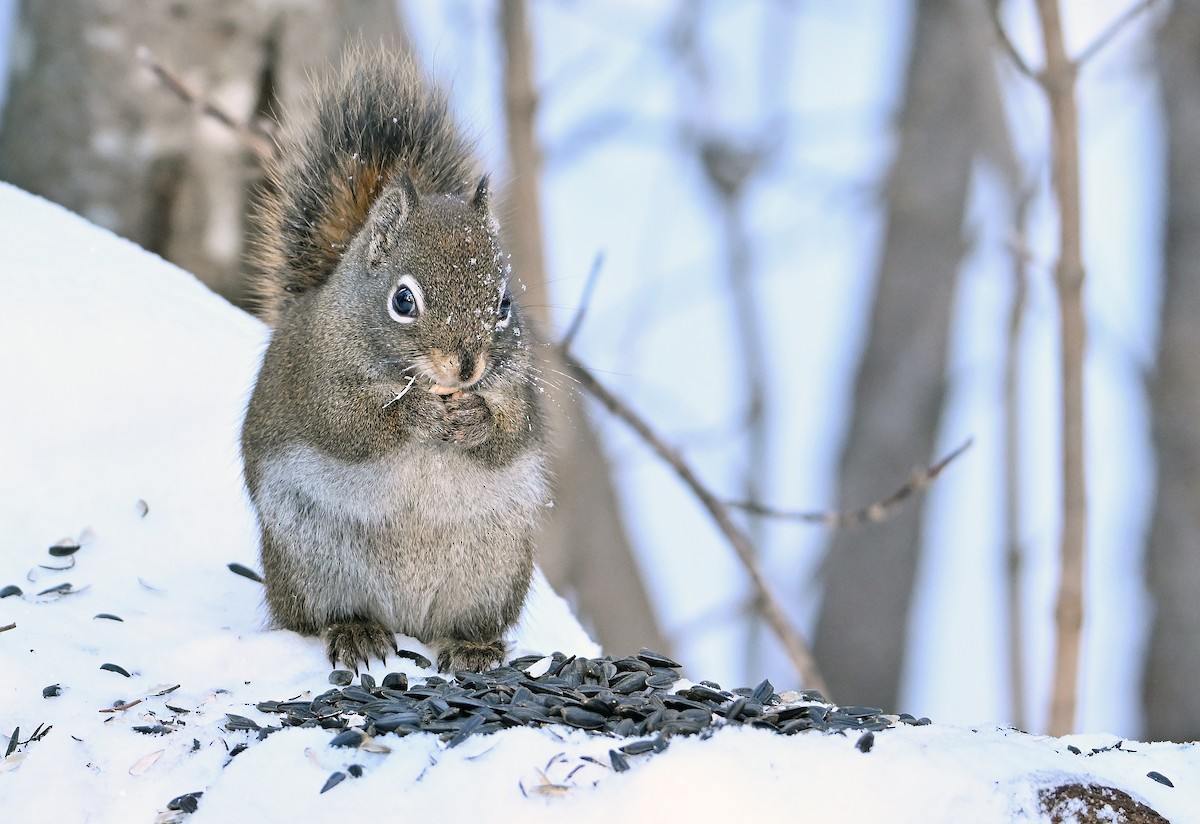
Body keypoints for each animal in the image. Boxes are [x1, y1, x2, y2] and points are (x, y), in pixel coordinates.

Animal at [240, 47, 548, 673]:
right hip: (312, 559)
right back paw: (355, 631)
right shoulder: (318, 380)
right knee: (322, 614)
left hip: (495, 571)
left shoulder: (517, 387)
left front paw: (475, 418)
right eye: (403, 300)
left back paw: (472, 646)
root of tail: (408, 621)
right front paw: (415, 416)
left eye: (505, 302)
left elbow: (512, 432)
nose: (466, 369)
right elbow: (349, 427)